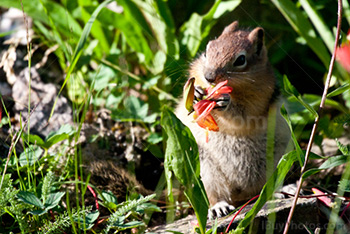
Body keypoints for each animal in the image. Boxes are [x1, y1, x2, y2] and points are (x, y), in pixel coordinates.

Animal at [176, 21, 292, 218]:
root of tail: (244, 194)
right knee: (215, 195)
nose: (209, 77)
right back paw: (219, 206)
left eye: (240, 60)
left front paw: (225, 102)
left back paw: (281, 191)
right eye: (206, 51)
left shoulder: (259, 99)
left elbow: (243, 115)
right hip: (206, 170)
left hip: (278, 161)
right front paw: (195, 91)